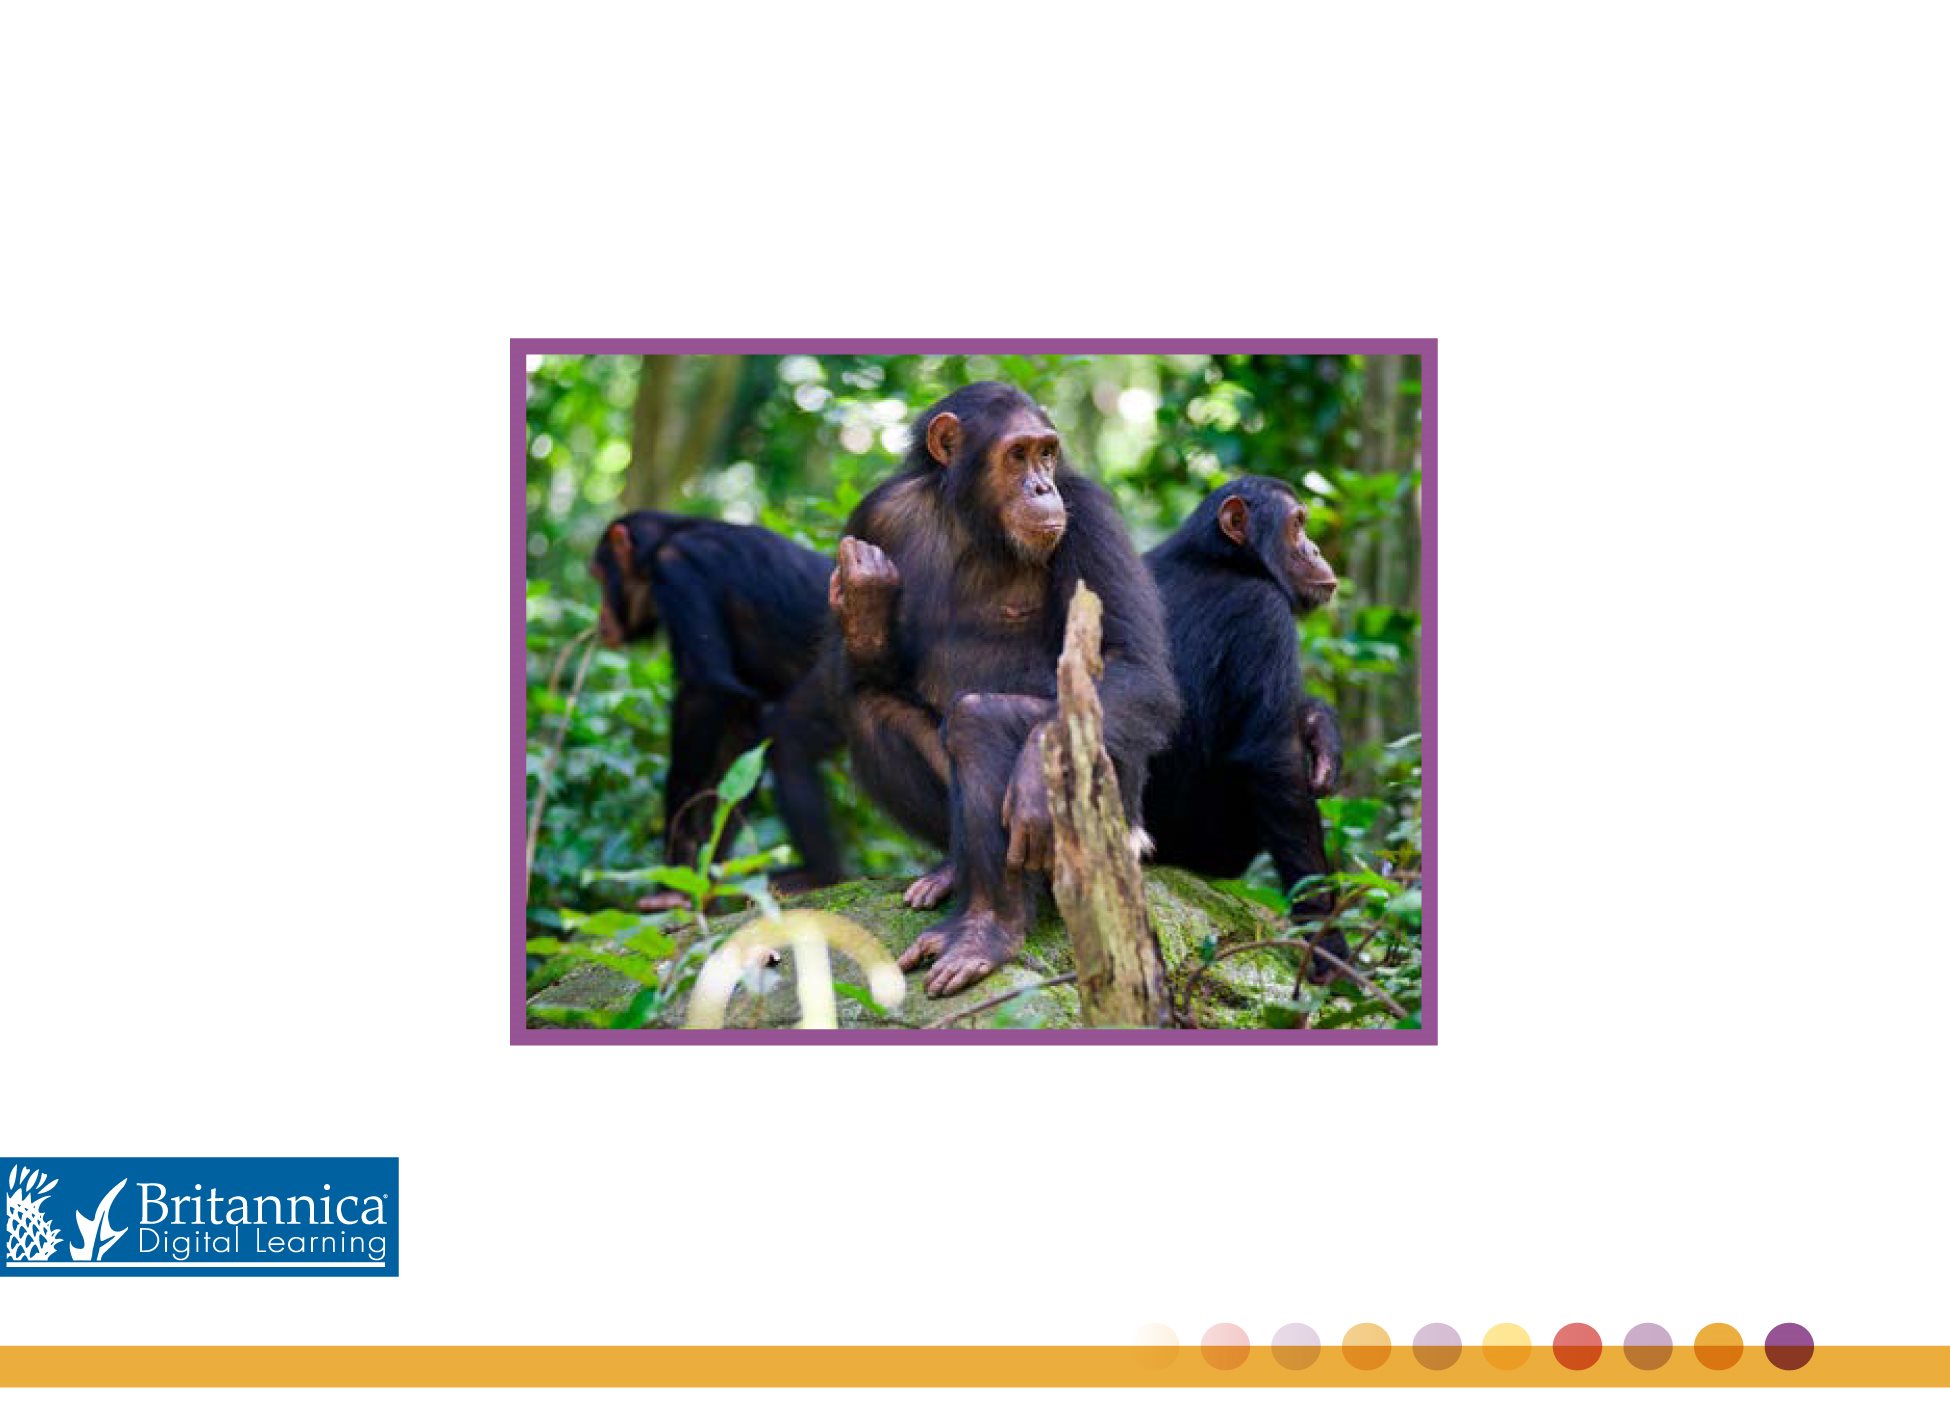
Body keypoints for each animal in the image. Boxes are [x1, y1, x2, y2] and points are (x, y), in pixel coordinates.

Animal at [588, 514, 842, 908]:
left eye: (600, 576)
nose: (600, 616)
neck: (663, 541)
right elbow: (738, 739)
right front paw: (700, 880)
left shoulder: (678, 570)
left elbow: (704, 692)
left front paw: (673, 876)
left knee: (787, 740)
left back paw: (820, 875)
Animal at [819, 384, 1170, 998]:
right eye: (1018, 454)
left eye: (1048, 454)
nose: (1042, 487)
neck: (972, 520)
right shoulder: (874, 516)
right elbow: (867, 680)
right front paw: (864, 601)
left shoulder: (1091, 517)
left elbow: (1136, 664)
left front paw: (1032, 775)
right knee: (871, 710)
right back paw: (954, 879)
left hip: (1116, 827)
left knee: (979, 720)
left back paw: (987, 932)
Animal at [1138, 475, 1357, 982]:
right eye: (1297, 525)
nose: (1315, 548)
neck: (1219, 558)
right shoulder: (1265, 615)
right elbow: (1274, 762)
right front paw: (1328, 945)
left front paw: (1321, 729)